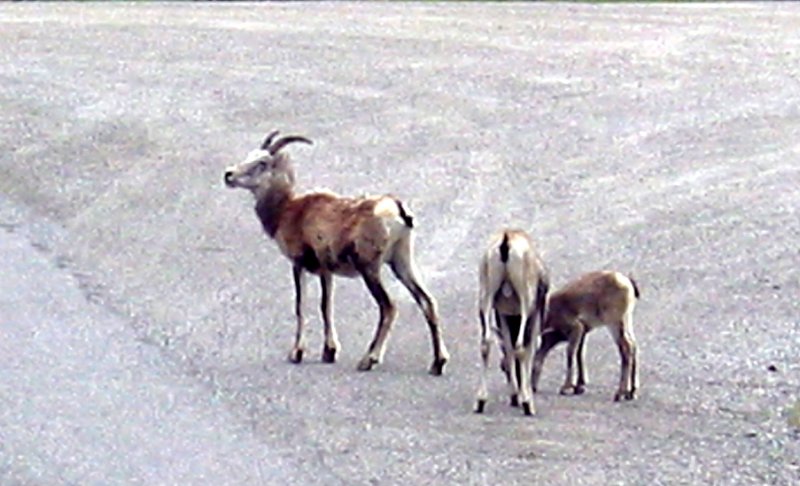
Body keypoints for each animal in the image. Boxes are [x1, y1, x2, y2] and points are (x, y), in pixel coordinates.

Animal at [223, 131, 450, 374]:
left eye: (262, 163)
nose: (229, 175)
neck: (288, 211)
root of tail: (396, 208)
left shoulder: (300, 264)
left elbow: (303, 305)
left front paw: (298, 353)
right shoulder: (327, 272)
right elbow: (326, 306)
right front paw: (328, 352)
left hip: (370, 268)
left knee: (388, 307)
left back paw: (368, 360)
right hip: (401, 262)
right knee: (427, 301)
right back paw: (437, 363)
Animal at [476, 230, 552, 416]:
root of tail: (506, 240)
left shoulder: (503, 315)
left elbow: (508, 349)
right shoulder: (534, 315)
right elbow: (528, 348)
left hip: (485, 300)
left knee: (486, 344)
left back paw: (481, 400)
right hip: (526, 302)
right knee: (519, 346)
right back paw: (527, 404)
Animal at [532, 270, 644, 402]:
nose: (532, 388)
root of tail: (628, 282)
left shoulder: (576, 328)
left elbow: (570, 353)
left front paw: (566, 387)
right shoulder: (583, 331)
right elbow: (579, 354)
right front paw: (579, 386)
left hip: (614, 322)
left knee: (626, 348)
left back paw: (620, 393)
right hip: (626, 320)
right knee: (633, 345)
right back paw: (631, 392)